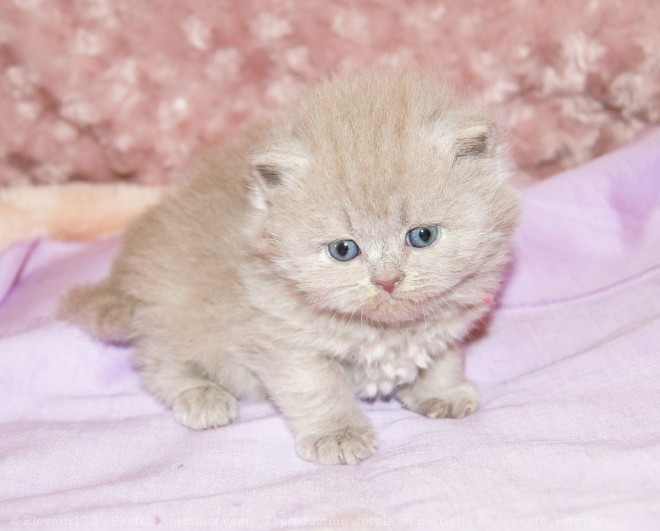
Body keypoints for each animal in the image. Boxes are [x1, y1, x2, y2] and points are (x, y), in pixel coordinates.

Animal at [60, 70, 520, 466]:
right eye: (344, 250)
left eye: (422, 236)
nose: (387, 280)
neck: (384, 328)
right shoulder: (283, 338)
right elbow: (317, 388)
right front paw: (338, 434)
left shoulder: (445, 320)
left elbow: (443, 357)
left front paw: (442, 392)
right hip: (173, 306)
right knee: (157, 360)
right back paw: (201, 396)